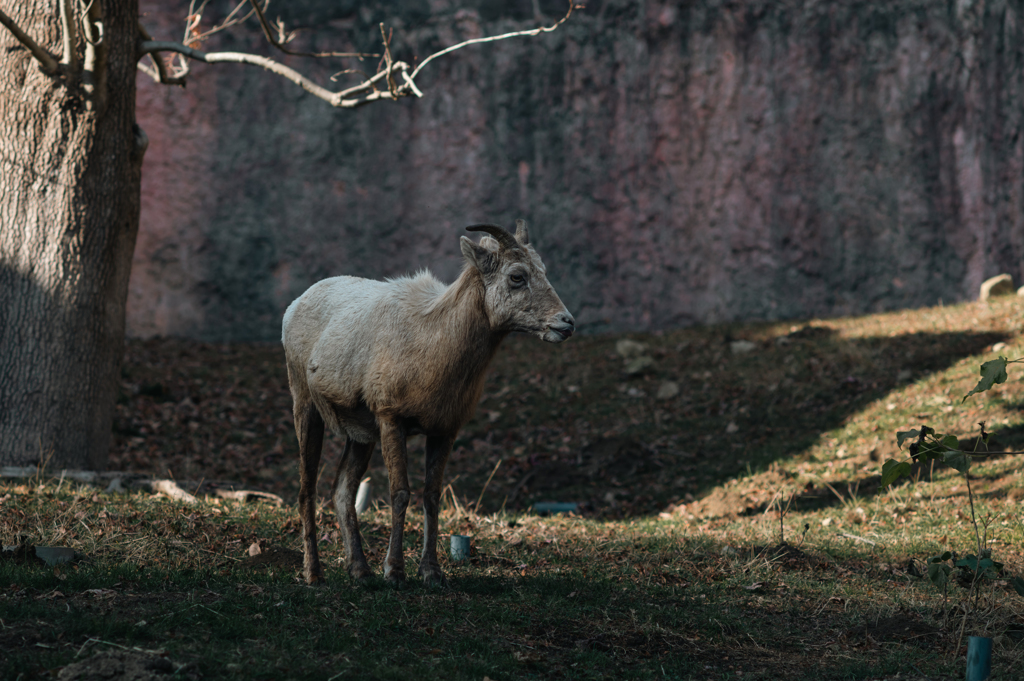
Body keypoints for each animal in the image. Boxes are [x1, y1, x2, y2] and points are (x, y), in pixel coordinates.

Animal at [284, 220, 573, 581]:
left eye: (543, 270)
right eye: (517, 276)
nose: (566, 323)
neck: (434, 343)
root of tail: (293, 307)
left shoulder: (444, 431)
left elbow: (431, 495)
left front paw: (431, 572)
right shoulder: (391, 419)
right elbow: (400, 492)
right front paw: (394, 571)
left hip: (360, 435)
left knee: (342, 491)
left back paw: (361, 573)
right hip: (306, 408)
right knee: (306, 489)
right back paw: (315, 575)